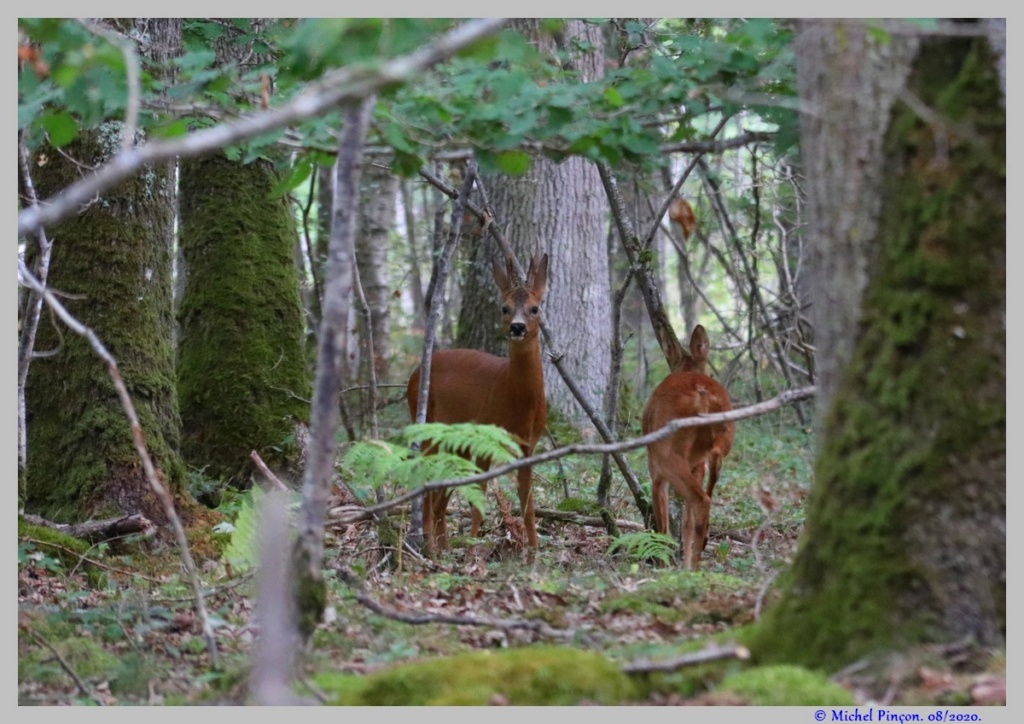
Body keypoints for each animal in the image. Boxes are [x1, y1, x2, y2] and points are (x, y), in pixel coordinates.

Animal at [407, 253, 552, 557]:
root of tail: (413, 376)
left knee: (440, 495)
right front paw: (473, 550)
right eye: (504, 308)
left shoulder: (529, 445)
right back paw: (431, 548)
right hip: (426, 423)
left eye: (535, 308)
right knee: (428, 486)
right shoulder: (486, 435)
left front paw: (534, 552)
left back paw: (443, 546)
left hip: (455, 441)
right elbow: (477, 502)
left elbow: (528, 505)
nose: (517, 327)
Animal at [643, 325, 733, 569]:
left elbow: (663, 524)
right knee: (706, 493)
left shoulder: (656, 472)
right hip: (725, 438)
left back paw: (692, 568)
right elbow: (686, 523)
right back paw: (695, 563)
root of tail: (701, 395)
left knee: (701, 499)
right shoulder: (697, 464)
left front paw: (663, 566)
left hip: (667, 456)